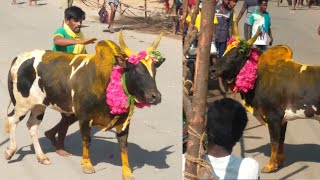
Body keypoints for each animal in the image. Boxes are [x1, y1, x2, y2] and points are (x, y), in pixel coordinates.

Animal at [3, 30, 165, 179]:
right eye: (137, 70)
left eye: (155, 71)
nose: (155, 96)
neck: (107, 80)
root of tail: (20, 57)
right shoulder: (84, 117)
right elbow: (87, 141)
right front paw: (87, 164)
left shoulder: (123, 121)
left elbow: (124, 147)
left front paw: (127, 172)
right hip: (22, 104)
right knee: (12, 120)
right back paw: (10, 151)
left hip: (39, 105)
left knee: (32, 126)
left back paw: (41, 156)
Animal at [210, 21, 320, 173]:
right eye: (226, 50)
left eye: (235, 55)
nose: (213, 70)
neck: (259, 74)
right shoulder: (283, 119)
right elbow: (281, 141)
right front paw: (279, 162)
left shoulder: (273, 116)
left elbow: (274, 141)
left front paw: (269, 166)